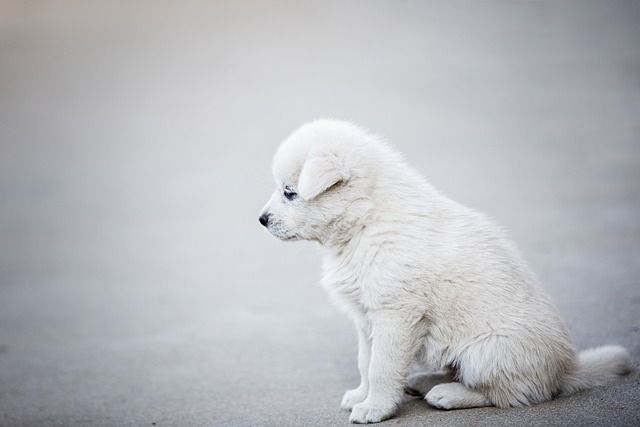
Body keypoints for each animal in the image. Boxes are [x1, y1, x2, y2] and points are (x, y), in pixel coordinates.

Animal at [258, 120, 628, 424]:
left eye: (290, 192)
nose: (261, 219)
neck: (366, 220)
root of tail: (565, 371)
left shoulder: (395, 314)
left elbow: (381, 367)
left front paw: (374, 408)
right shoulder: (366, 317)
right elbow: (365, 361)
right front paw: (361, 396)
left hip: (487, 352)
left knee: (512, 394)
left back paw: (449, 394)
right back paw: (424, 381)